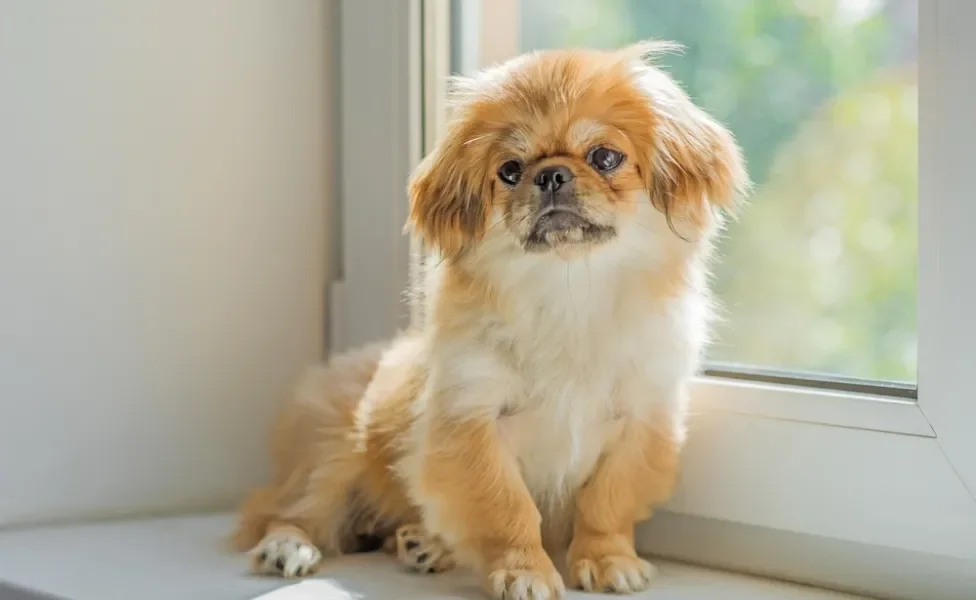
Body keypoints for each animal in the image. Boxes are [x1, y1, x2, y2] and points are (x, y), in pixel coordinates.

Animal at [233, 42, 752, 600]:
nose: (551, 174)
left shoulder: (643, 419)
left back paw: (424, 544)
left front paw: (607, 557)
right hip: (333, 451)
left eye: (605, 157)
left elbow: (608, 502)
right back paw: (289, 547)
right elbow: (506, 509)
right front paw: (524, 571)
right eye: (509, 169)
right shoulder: (472, 420)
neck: (569, 293)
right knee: (287, 510)